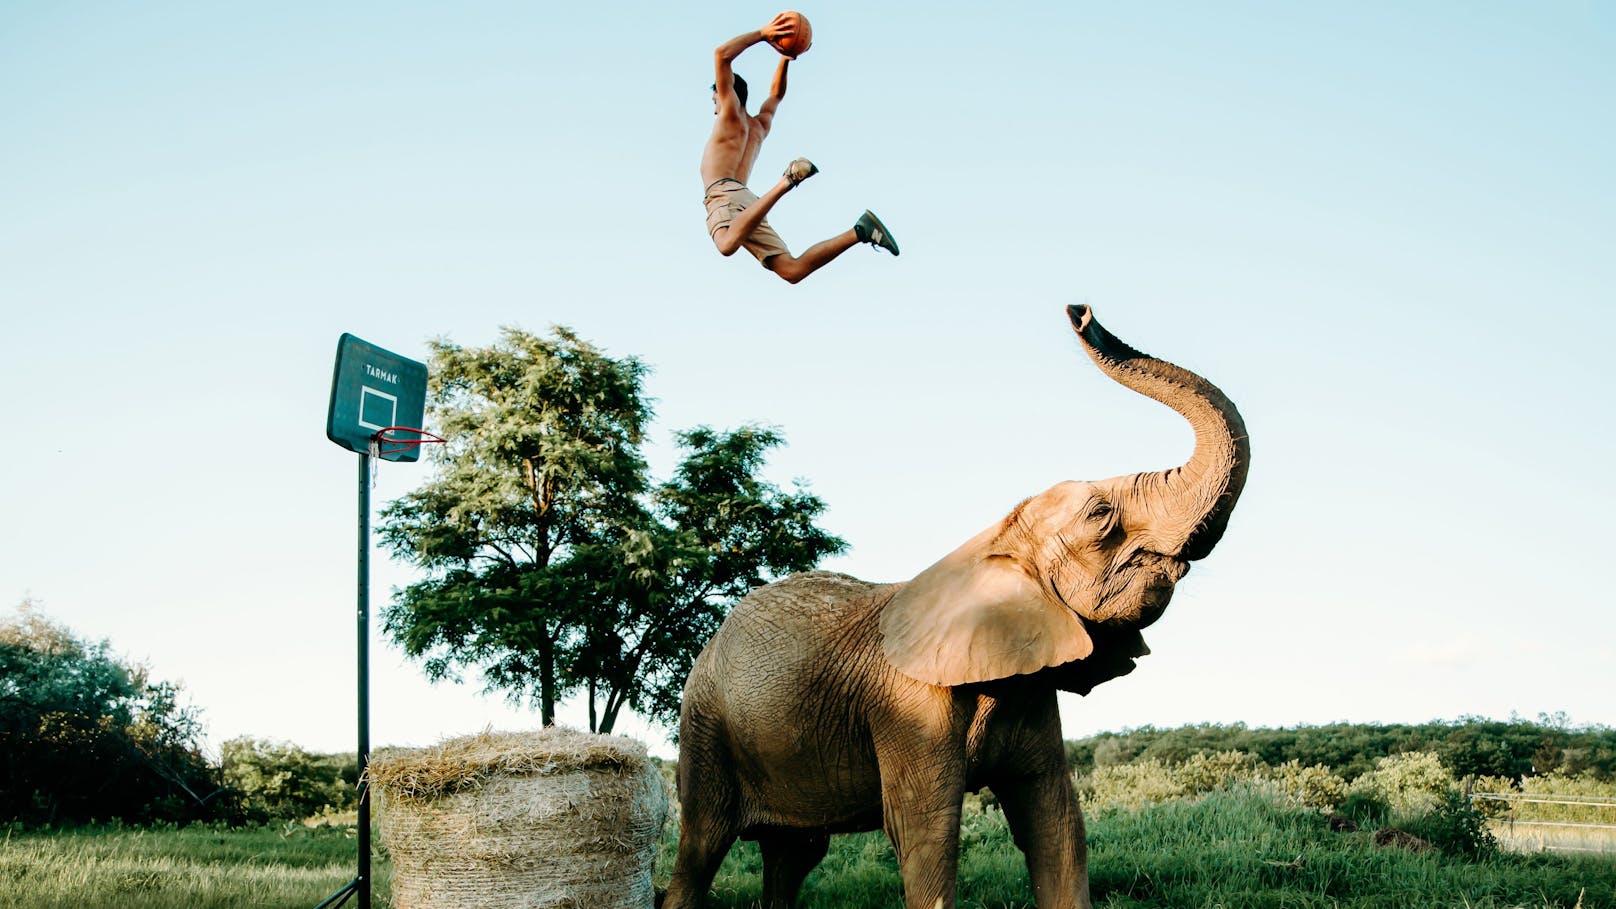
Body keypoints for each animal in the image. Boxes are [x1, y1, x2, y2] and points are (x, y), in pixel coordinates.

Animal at [662, 305, 1254, 905]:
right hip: (705, 728)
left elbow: (1057, 822)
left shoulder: (1029, 688)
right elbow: (926, 829)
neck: (993, 542)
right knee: (704, 843)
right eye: (1099, 517)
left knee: (795, 853)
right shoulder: (909, 706)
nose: (1080, 312)